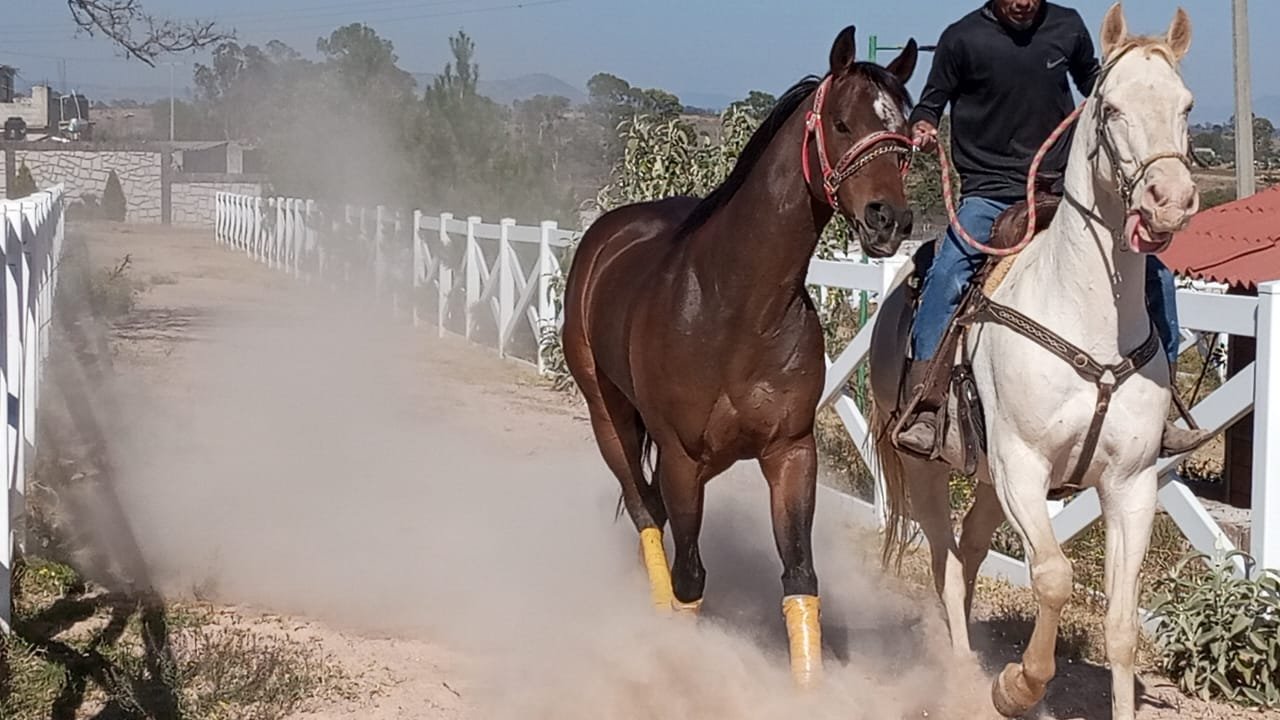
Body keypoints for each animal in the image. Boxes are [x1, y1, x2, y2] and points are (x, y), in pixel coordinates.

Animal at [561, 25, 918, 686]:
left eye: (906, 130)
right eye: (841, 122)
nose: (889, 220)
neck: (736, 307)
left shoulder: (790, 451)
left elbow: (800, 578)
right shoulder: (680, 456)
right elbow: (690, 577)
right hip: (610, 418)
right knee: (644, 510)